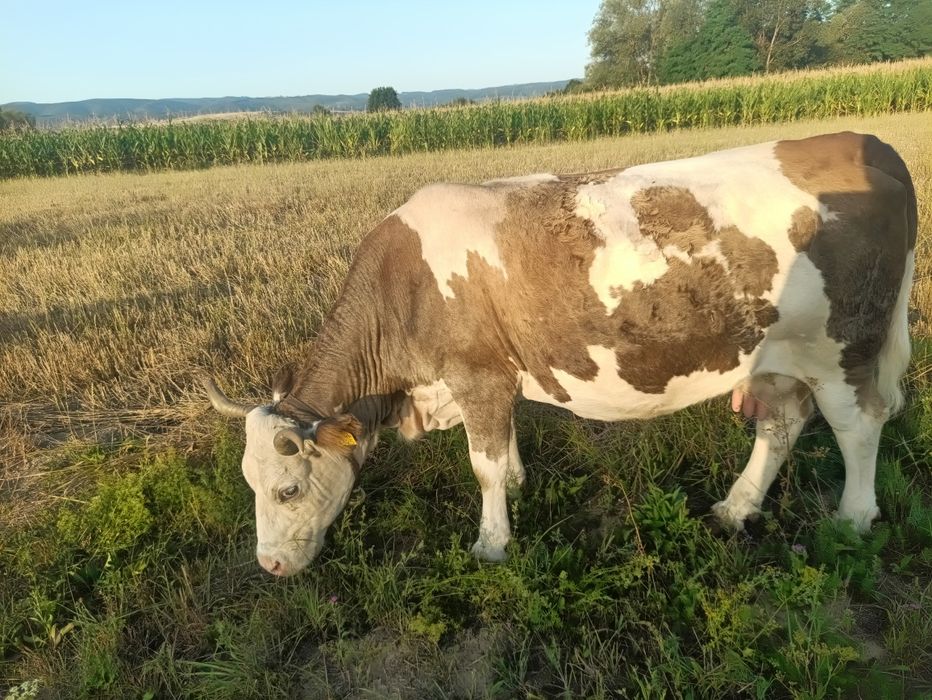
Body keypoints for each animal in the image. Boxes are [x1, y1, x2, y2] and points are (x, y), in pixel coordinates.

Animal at [203, 132, 916, 577]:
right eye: (249, 485)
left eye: (290, 488)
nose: (270, 565)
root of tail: (860, 142)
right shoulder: (494, 376)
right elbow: (505, 448)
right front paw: (520, 483)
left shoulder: (475, 374)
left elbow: (483, 465)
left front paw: (492, 543)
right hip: (774, 356)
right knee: (780, 425)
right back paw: (735, 508)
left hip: (842, 348)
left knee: (858, 425)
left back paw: (852, 519)